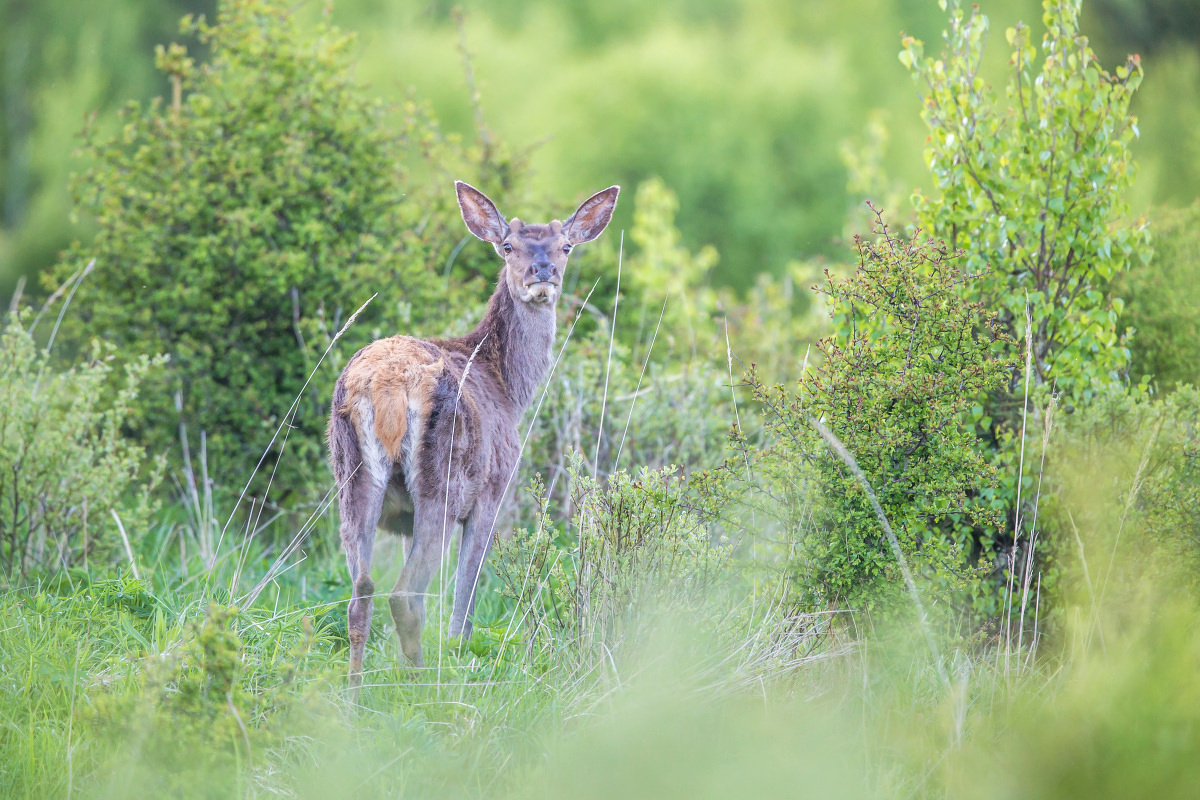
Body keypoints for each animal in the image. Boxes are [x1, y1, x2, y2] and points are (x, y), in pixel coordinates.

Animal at [326, 179, 619, 690]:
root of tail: (386, 387)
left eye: (564, 246)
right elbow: (465, 601)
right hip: (442, 480)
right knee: (405, 595)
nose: (543, 271)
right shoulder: (492, 493)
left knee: (361, 590)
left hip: (352, 476)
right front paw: (461, 656)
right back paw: (424, 684)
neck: (508, 388)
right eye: (508, 246)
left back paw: (356, 692)